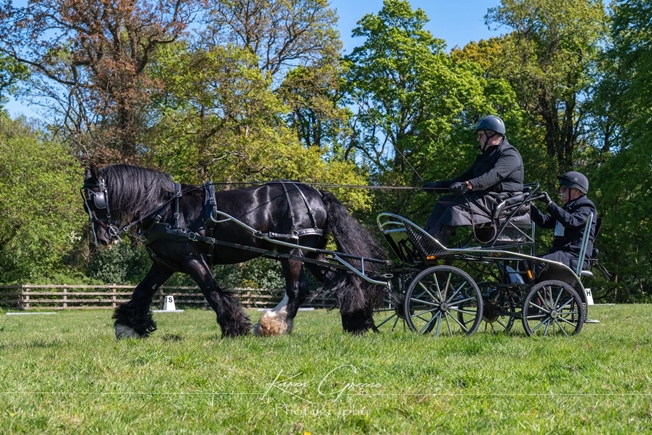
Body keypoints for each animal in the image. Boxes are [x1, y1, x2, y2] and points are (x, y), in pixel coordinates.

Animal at [81, 164, 387, 338]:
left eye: (96, 200)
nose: (102, 239)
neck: (165, 208)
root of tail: (317, 194)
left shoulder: (191, 257)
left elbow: (212, 291)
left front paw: (235, 327)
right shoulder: (165, 262)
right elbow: (142, 291)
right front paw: (129, 325)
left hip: (293, 251)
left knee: (298, 288)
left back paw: (273, 325)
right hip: (311, 253)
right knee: (343, 281)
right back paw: (356, 322)